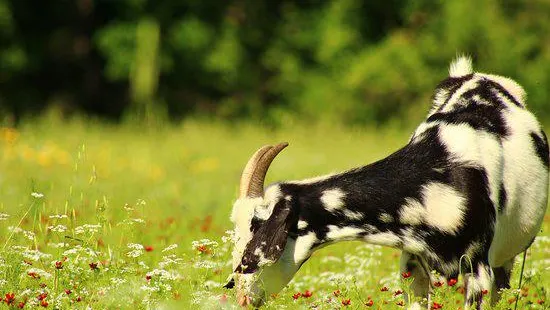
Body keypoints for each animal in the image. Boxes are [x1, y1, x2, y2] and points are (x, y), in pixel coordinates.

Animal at [225, 57, 550, 308]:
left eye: (253, 230)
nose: (240, 296)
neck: (437, 174)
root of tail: (474, 75)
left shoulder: (478, 269)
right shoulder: (413, 263)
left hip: (505, 261)